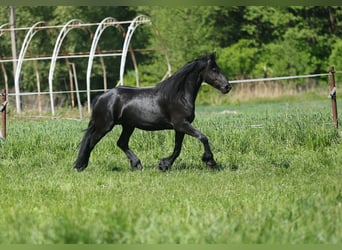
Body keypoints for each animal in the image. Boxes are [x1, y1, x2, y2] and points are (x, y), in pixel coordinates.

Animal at [74, 53, 231, 172]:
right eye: (214, 69)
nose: (227, 87)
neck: (179, 95)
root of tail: (100, 97)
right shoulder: (182, 125)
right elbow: (203, 137)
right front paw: (210, 161)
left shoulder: (179, 128)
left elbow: (177, 148)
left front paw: (164, 165)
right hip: (105, 126)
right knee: (91, 141)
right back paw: (80, 166)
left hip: (128, 126)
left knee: (121, 143)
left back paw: (137, 164)